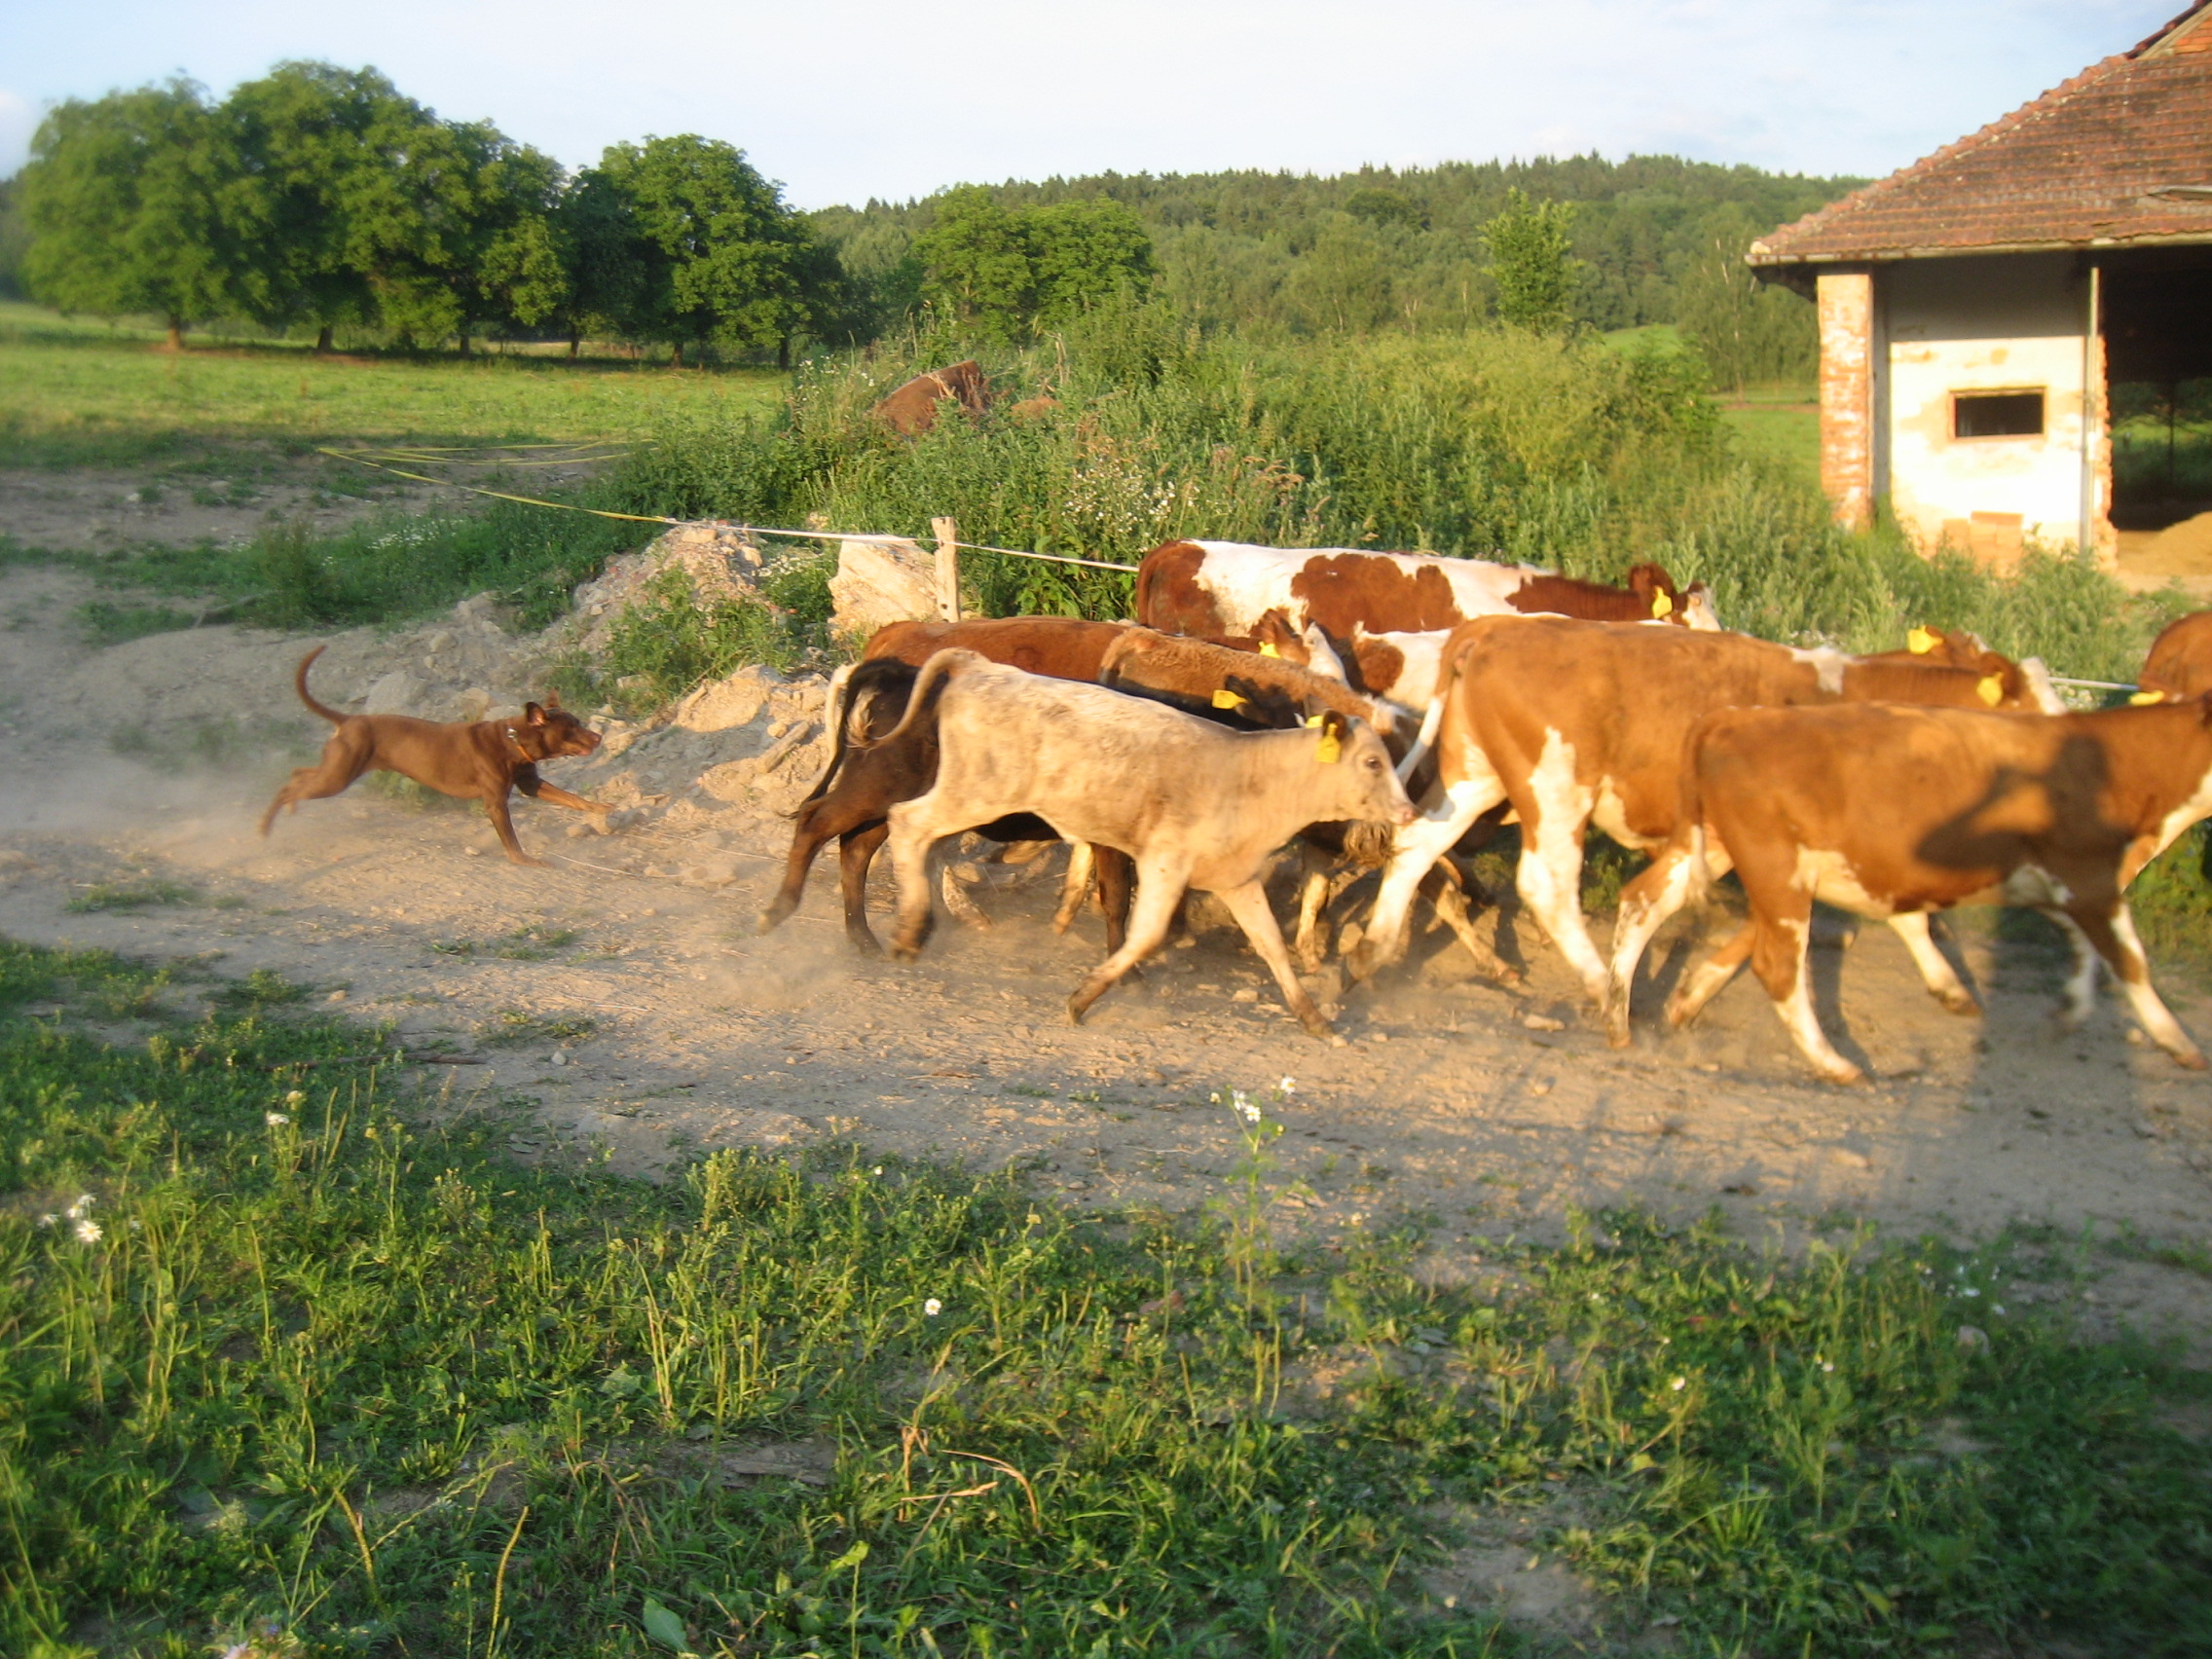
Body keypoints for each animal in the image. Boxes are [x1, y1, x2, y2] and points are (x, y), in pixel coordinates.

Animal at [258, 641, 606, 863]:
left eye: (578, 721)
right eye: (571, 728)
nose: (599, 736)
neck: (512, 741)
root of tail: (348, 720)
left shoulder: (530, 783)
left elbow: (572, 798)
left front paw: (603, 808)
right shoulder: (494, 803)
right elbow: (511, 840)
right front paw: (524, 861)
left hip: (336, 769)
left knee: (298, 774)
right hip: (338, 776)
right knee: (289, 787)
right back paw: (264, 827)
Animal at [884, 649, 1416, 1039]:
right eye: (1372, 762)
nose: (1408, 812)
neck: (1248, 775)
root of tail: (982, 666)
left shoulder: (1237, 879)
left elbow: (1271, 945)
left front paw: (1315, 1020)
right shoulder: (1165, 864)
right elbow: (1144, 935)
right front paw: (1083, 998)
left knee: (928, 843)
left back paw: (922, 926)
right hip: (976, 793)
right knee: (906, 822)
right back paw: (907, 934)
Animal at [1353, 619, 2061, 1021]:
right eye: (2032, 715)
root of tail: (1492, 633)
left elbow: (1903, 915)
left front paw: (1949, 987)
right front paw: (1690, 992)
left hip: (1476, 777)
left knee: (1418, 844)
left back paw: (1374, 950)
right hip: (1555, 791)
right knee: (1546, 885)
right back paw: (1602, 986)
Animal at [1610, 708, 2212, 1084]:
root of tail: (1733, 718)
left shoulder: (2067, 886)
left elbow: (2088, 953)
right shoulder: (2089, 878)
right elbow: (2131, 961)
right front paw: (2177, 1041)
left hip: (1721, 847)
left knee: (1644, 900)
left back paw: (1618, 1019)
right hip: (1775, 865)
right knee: (1777, 966)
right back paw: (1835, 1065)